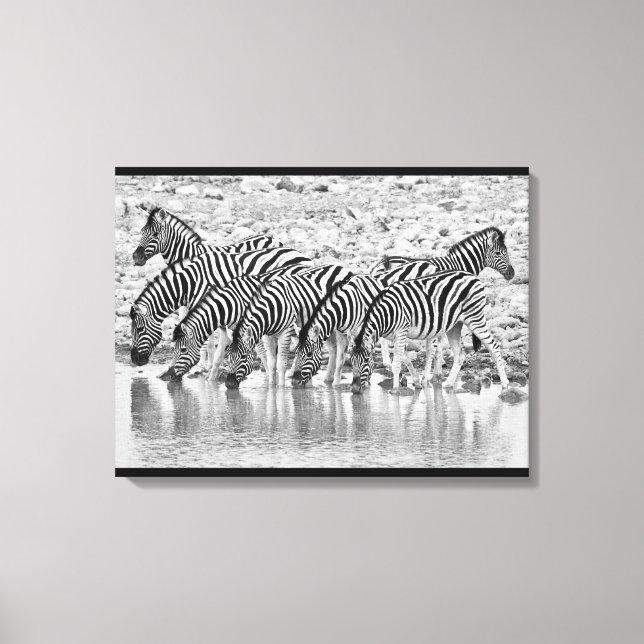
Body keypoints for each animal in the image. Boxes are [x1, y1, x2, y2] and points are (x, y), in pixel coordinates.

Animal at [129, 247, 313, 375]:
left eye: (139, 329)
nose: (134, 360)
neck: (191, 283)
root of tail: (304, 257)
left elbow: (205, 341)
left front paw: (201, 368)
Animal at [224, 264, 354, 389]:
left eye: (243, 357)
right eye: (228, 356)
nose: (229, 384)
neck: (272, 310)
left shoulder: (285, 332)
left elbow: (281, 364)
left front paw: (281, 389)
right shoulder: (267, 336)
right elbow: (272, 364)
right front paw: (271, 387)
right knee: (332, 350)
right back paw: (324, 380)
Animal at [350, 270, 510, 395]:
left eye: (366, 360)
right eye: (351, 361)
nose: (354, 389)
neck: (387, 313)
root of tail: (473, 276)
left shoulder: (401, 331)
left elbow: (397, 363)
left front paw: (395, 390)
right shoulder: (395, 337)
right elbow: (406, 359)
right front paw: (416, 382)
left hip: (475, 318)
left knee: (494, 347)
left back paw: (505, 384)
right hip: (455, 325)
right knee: (460, 353)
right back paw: (449, 384)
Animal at [370, 227, 514, 376]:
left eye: (506, 251)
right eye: (498, 253)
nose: (512, 273)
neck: (459, 264)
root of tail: (383, 263)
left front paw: (438, 363)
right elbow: (439, 336)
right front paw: (440, 364)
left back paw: (388, 362)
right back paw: (388, 362)